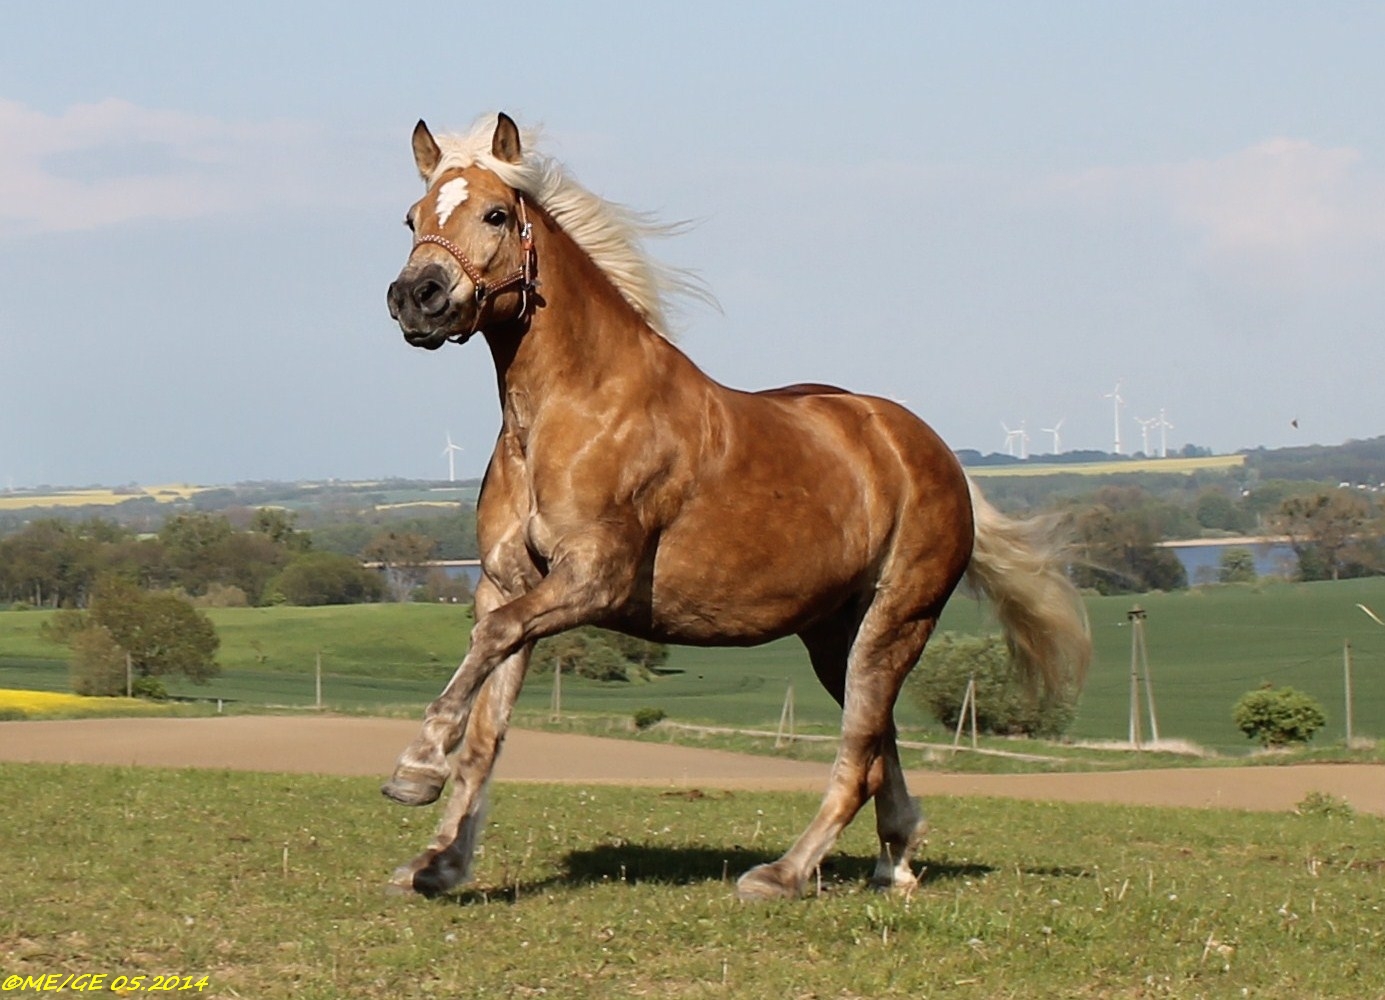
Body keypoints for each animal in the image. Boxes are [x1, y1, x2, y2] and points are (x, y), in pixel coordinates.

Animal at [382, 112, 1091, 897]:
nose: (416, 297)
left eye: (496, 215)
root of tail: (932, 453)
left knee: (857, 753)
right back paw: (896, 862)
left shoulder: (592, 581)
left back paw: (783, 874)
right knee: (879, 742)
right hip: (833, 636)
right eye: (411, 217)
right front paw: (439, 862)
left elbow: (487, 648)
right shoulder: (510, 584)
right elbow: (488, 723)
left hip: (897, 621)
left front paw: (415, 770)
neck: (564, 414)